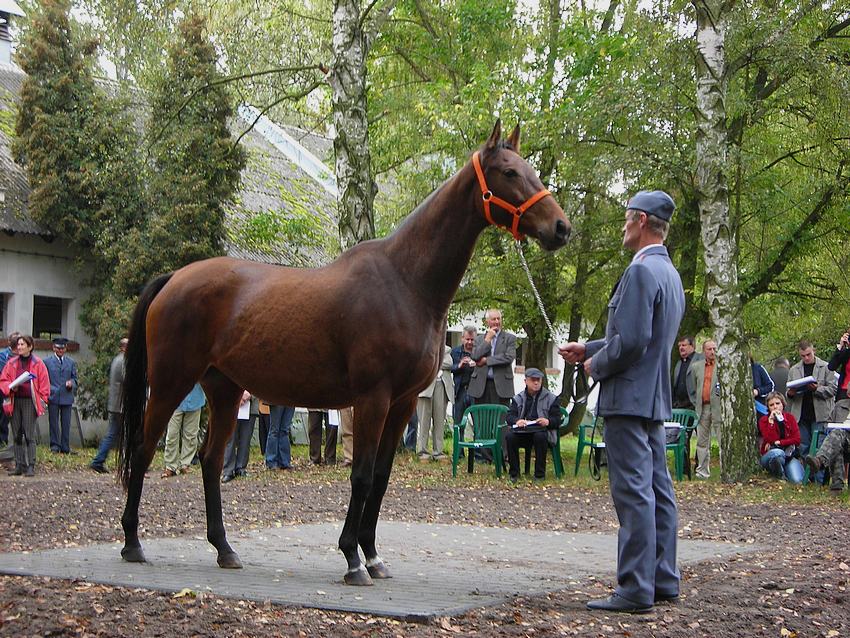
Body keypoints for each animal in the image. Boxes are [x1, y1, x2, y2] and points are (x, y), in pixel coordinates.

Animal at [116, 120, 568, 584]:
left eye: (530, 170)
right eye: (510, 172)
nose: (560, 228)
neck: (405, 281)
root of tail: (173, 279)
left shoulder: (403, 403)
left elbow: (382, 477)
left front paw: (373, 555)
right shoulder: (373, 399)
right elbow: (362, 476)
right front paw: (352, 558)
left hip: (223, 389)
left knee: (209, 461)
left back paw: (224, 548)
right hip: (170, 383)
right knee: (143, 448)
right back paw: (133, 542)